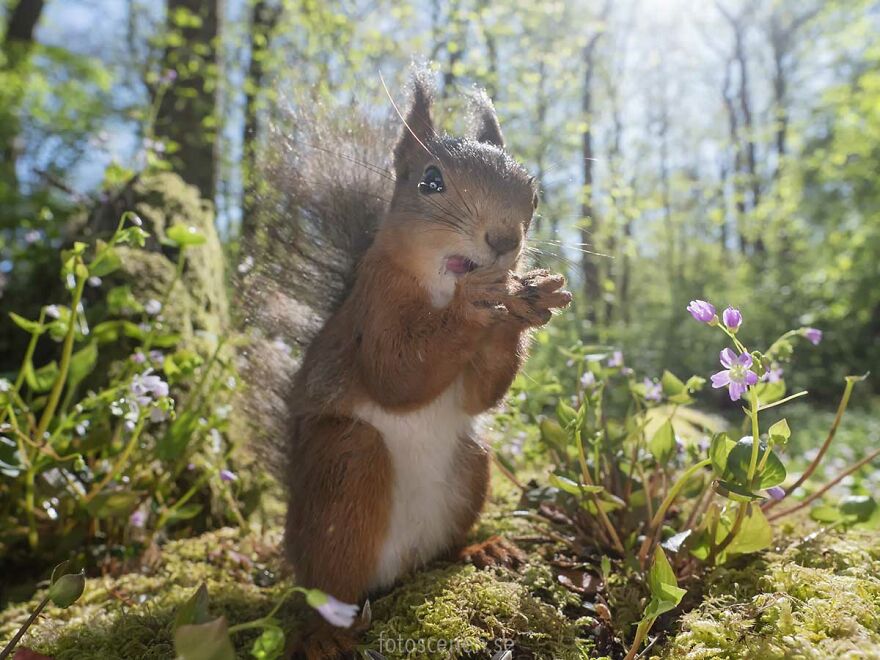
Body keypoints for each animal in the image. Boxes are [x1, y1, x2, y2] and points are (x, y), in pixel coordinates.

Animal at [240, 69, 571, 657]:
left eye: (533, 193)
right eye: (431, 182)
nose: (505, 241)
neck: (439, 283)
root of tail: (399, 571)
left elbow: (479, 395)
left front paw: (525, 304)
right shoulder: (376, 305)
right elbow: (397, 375)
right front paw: (479, 301)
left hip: (471, 463)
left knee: (442, 547)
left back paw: (479, 551)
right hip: (346, 468)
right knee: (332, 583)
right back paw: (326, 633)